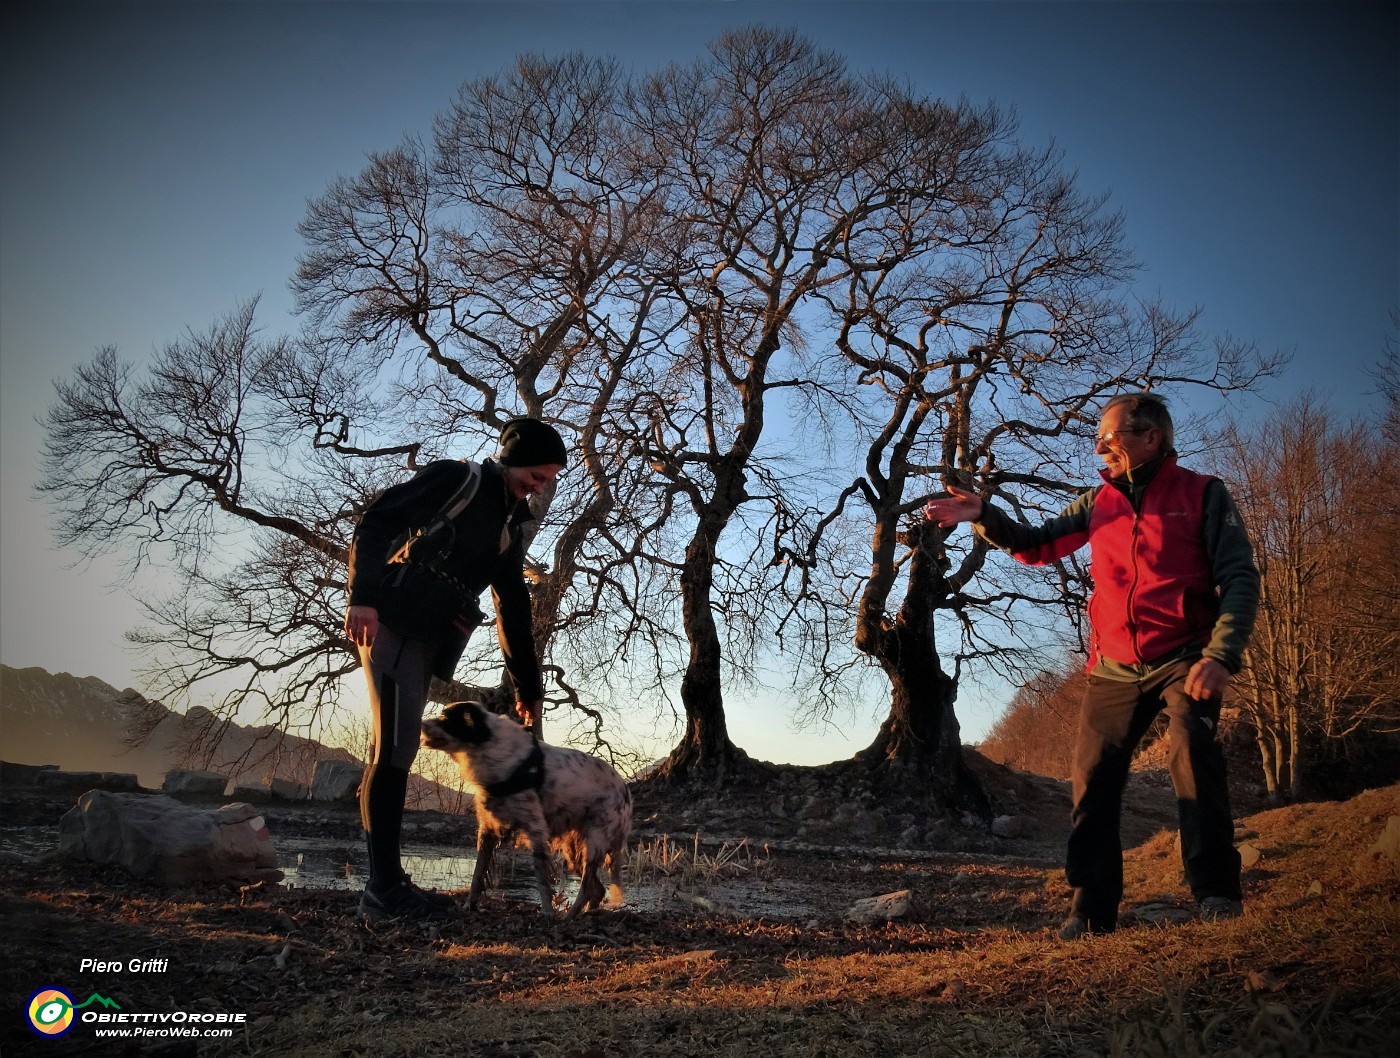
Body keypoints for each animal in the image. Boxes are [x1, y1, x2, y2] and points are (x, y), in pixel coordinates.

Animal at [417, 702, 632, 918]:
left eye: (445, 718)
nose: (420, 723)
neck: (489, 746)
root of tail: (624, 789)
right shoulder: (488, 830)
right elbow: (477, 876)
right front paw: (469, 905)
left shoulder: (536, 830)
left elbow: (541, 880)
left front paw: (548, 912)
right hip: (573, 850)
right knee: (597, 889)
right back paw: (585, 914)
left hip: (594, 843)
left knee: (587, 888)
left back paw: (569, 916)